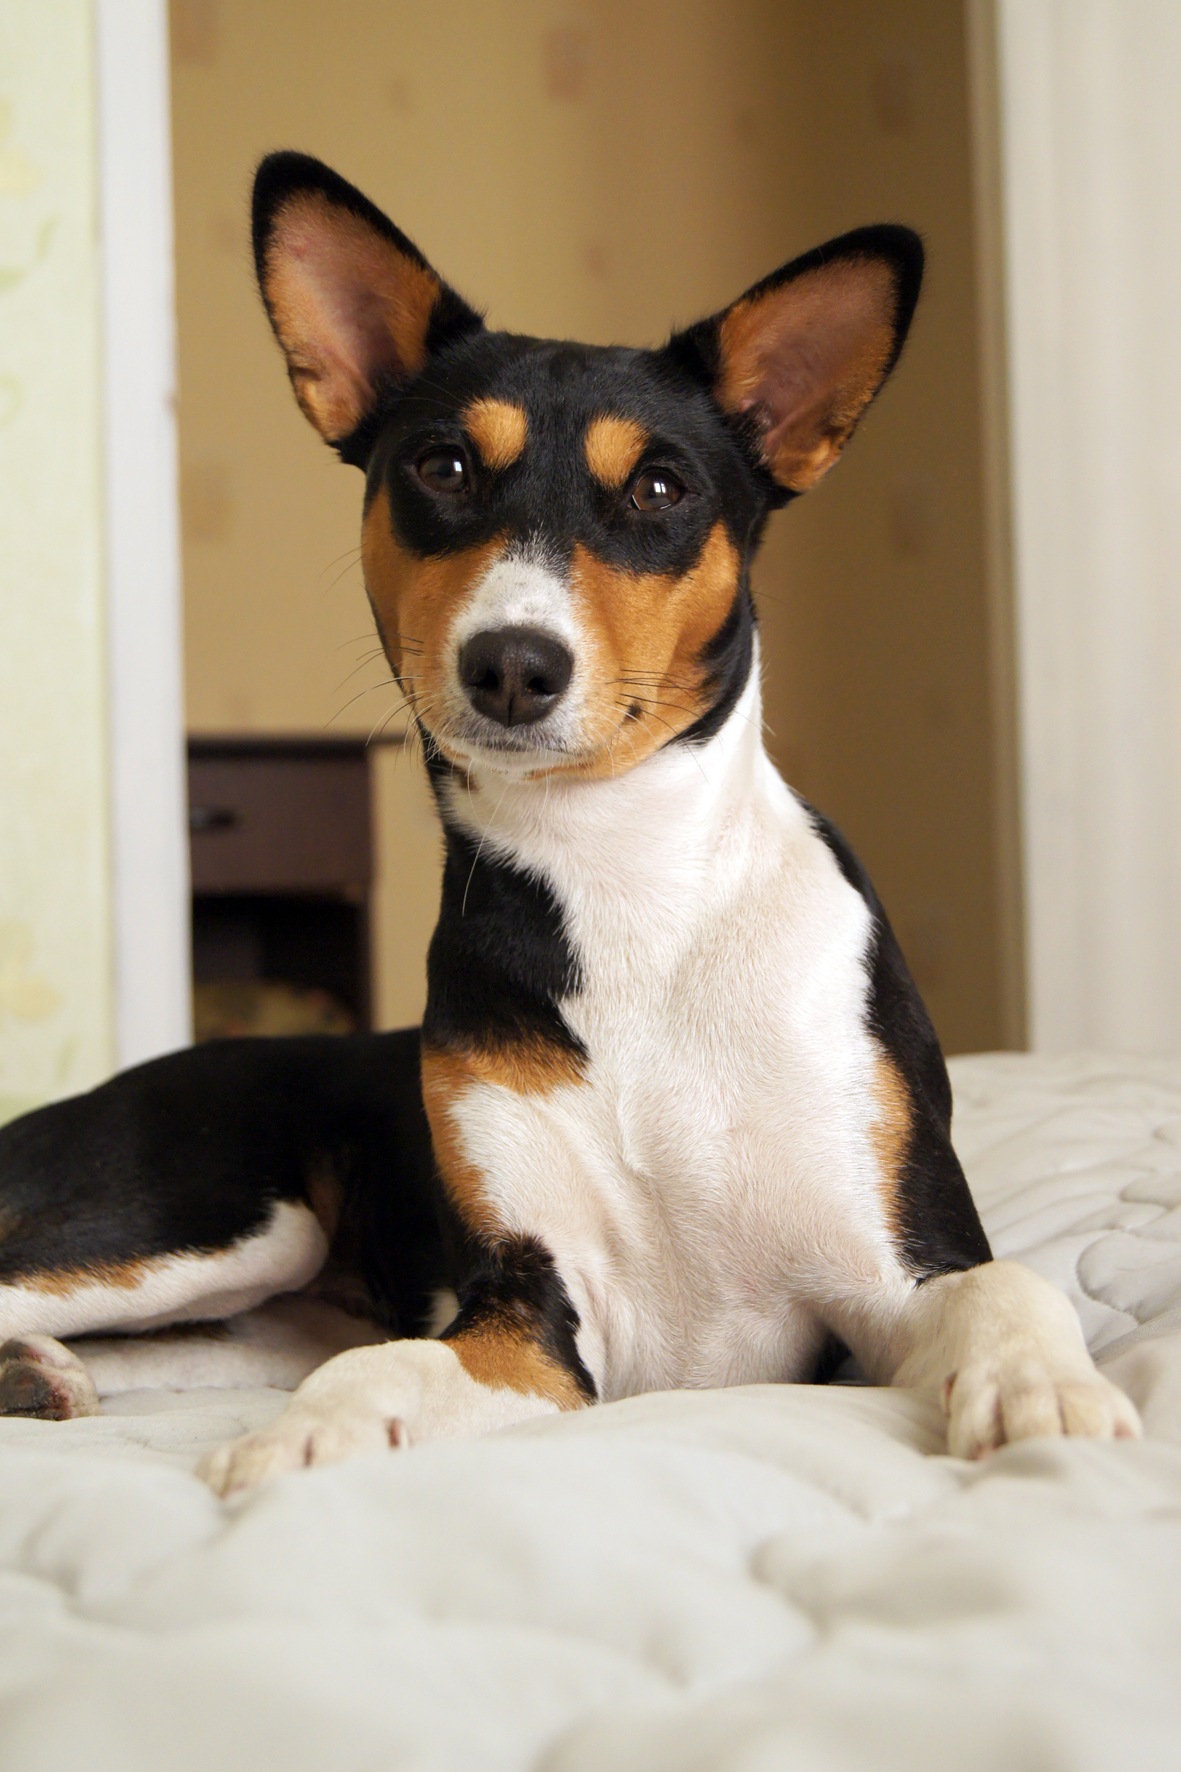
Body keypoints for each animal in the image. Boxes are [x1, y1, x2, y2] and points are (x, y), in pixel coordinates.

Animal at [0, 153, 1139, 1492]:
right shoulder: (531, 1310)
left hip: (257, 1291)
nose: (511, 662)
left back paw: (40, 1376)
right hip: (221, 1219)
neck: (627, 885)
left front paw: (1045, 1397)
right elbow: (386, 1368)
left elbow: (1009, 1286)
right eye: (442, 467)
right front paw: (300, 1440)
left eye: (658, 486)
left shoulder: (892, 1269)